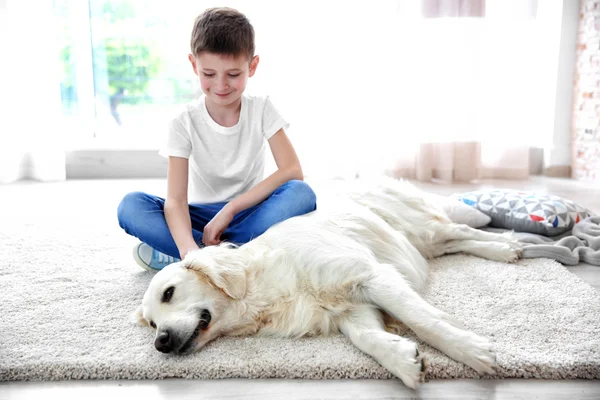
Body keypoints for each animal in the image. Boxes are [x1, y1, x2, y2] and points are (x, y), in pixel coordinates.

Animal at [136, 177, 520, 388]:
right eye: (152, 323)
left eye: (169, 293)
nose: (161, 342)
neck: (259, 287)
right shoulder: (350, 309)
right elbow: (367, 338)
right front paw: (402, 359)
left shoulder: (370, 276)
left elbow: (423, 321)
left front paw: (470, 350)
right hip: (421, 240)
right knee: (457, 241)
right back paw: (508, 248)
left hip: (422, 227)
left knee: (463, 229)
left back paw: (508, 245)